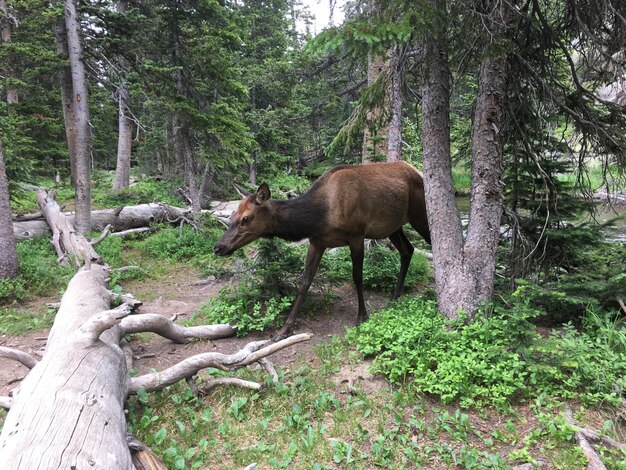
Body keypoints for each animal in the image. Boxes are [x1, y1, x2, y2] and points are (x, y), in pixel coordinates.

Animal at [213, 161, 428, 338]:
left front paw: (362, 315)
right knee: (407, 250)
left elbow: (357, 277)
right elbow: (304, 282)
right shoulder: (317, 242)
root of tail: (417, 171)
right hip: (393, 226)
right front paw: (284, 330)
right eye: (232, 216)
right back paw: (395, 297)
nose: (218, 247)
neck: (318, 217)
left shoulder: (356, 235)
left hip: (419, 215)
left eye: (246, 219)